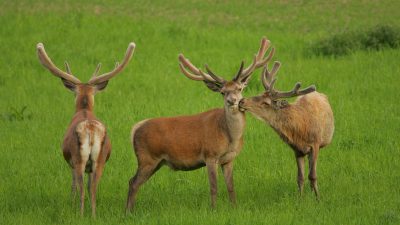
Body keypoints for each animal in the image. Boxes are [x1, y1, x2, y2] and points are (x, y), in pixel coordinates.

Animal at [36, 42, 136, 216]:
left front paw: (71, 203)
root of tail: (90, 130)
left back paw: (81, 214)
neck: (84, 109)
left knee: (81, 187)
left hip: (78, 158)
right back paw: (93, 215)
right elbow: (89, 186)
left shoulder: (70, 162)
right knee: (93, 188)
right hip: (100, 159)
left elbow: (73, 186)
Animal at [126, 37, 276, 211]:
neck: (230, 136)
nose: (232, 101)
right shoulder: (210, 155)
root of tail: (135, 129)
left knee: (133, 181)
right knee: (133, 182)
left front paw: (234, 207)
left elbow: (231, 186)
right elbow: (214, 187)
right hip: (147, 158)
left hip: (156, 162)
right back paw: (128, 212)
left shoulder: (229, 159)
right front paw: (214, 209)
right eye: (223, 92)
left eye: (239, 88)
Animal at [238, 61, 334, 199]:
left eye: (265, 103)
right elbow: (300, 177)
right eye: (260, 93)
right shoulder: (297, 149)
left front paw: (318, 198)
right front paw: (300, 199)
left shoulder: (315, 144)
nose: (241, 101)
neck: (301, 128)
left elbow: (312, 175)